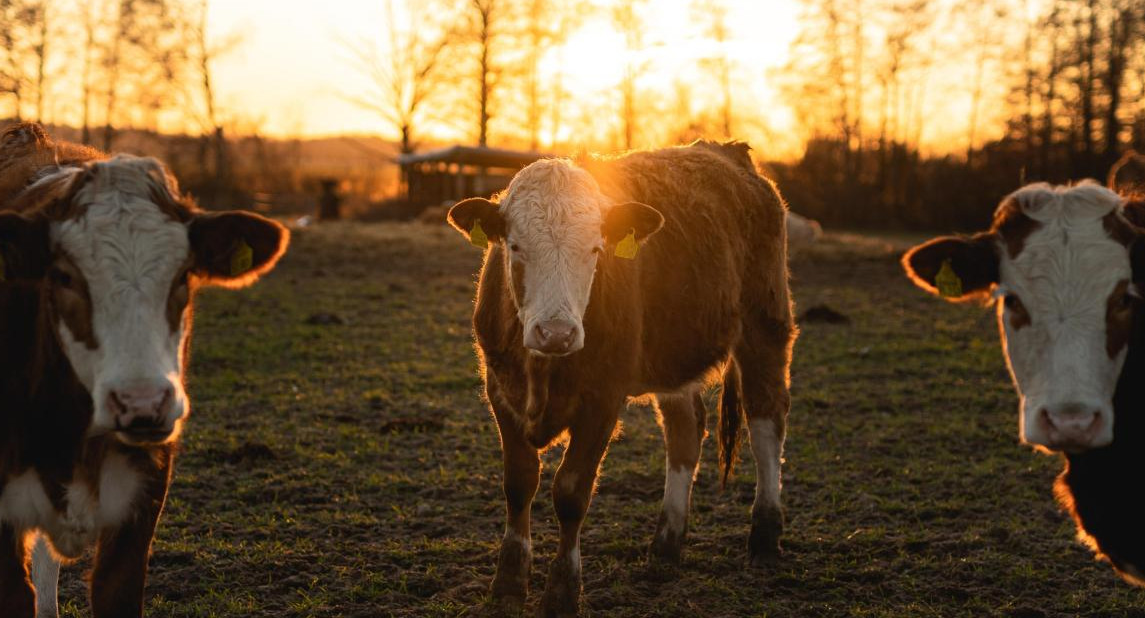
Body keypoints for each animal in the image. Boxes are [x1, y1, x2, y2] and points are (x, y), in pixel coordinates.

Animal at [446, 142, 796, 613]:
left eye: (596, 249)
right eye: (515, 247)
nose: (556, 332)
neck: (542, 368)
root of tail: (730, 154)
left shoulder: (602, 400)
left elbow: (571, 492)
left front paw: (562, 592)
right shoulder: (501, 390)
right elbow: (518, 484)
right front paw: (508, 585)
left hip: (766, 324)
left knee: (766, 425)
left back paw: (764, 538)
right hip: (673, 355)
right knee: (685, 431)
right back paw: (666, 546)